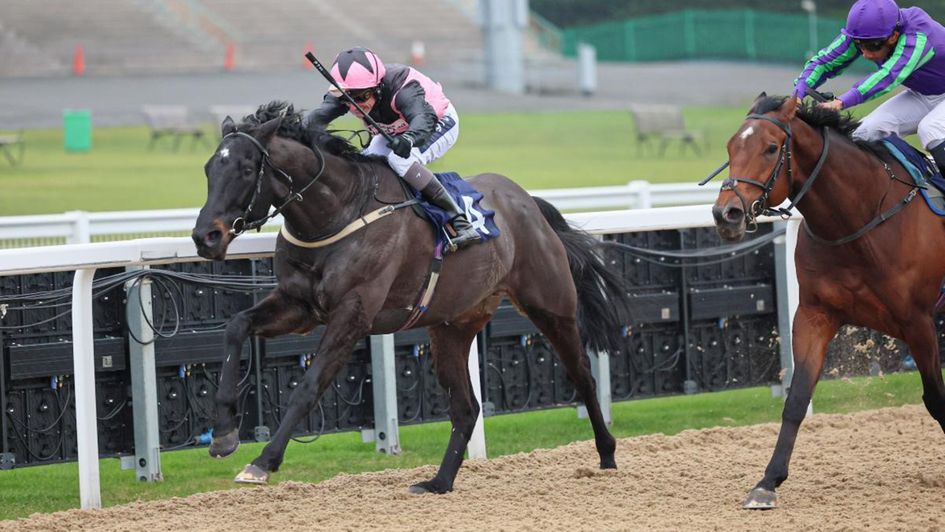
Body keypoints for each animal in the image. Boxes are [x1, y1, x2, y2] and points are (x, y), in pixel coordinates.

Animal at [190, 102, 636, 492]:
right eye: (210, 168)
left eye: (247, 168)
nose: (204, 236)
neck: (338, 212)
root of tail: (528, 202)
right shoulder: (301, 306)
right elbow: (236, 327)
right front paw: (224, 433)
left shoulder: (352, 313)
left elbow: (310, 384)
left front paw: (262, 462)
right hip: (452, 326)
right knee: (467, 408)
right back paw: (439, 483)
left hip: (551, 307)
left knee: (583, 377)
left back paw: (607, 454)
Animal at [712, 93, 944, 510]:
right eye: (730, 146)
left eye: (771, 148)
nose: (726, 214)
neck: (860, 221)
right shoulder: (813, 316)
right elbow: (796, 399)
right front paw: (767, 482)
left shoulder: (918, 322)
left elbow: (935, 397)